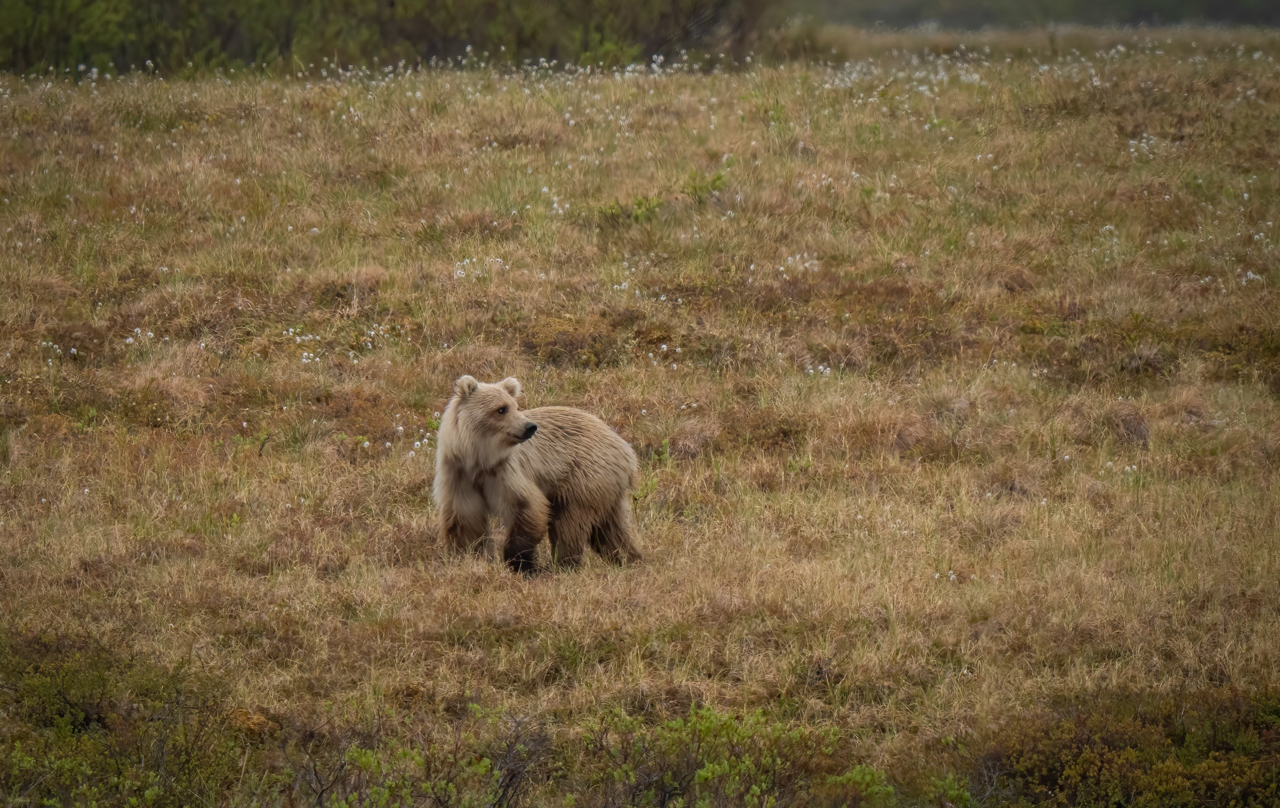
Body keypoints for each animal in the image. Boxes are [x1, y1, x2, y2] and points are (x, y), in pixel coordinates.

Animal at [433, 375, 642, 573]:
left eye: (515, 406)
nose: (529, 427)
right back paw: (628, 559)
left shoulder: (507, 473)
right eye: (501, 409)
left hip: (584, 478)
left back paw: (563, 565)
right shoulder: (459, 474)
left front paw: (519, 562)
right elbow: (465, 520)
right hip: (605, 488)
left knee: (569, 525)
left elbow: (528, 508)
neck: (479, 459)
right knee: (609, 530)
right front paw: (464, 557)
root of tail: (625, 448)